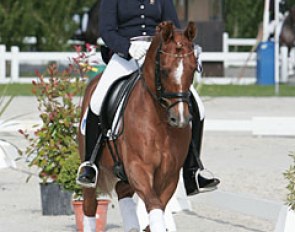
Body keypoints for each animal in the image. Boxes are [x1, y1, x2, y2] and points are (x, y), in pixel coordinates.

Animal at [80, 20, 198, 231]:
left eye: (193, 69)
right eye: (165, 70)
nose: (180, 119)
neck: (160, 123)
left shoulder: (169, 176)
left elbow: (157, 210)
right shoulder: (139, 169)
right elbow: (155, 207)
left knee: (122, 189)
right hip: (92, 172)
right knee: (89, 206)